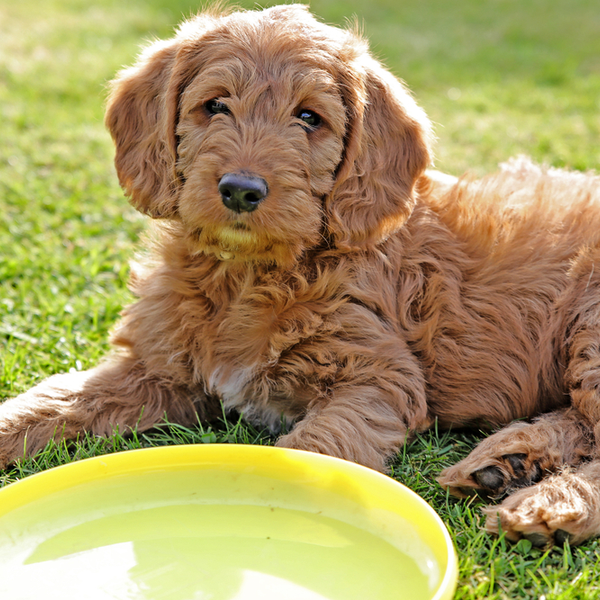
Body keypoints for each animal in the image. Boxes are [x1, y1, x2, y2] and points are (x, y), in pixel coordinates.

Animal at [1, 3, 600, 548]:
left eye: (310, 118)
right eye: (214, 106)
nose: (241, 190)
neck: (249, 274)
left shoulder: (378, 377)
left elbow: (313, 449)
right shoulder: (159, 369)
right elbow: (59, 399)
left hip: (589, 325)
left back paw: (548, 505)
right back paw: (506, 462)